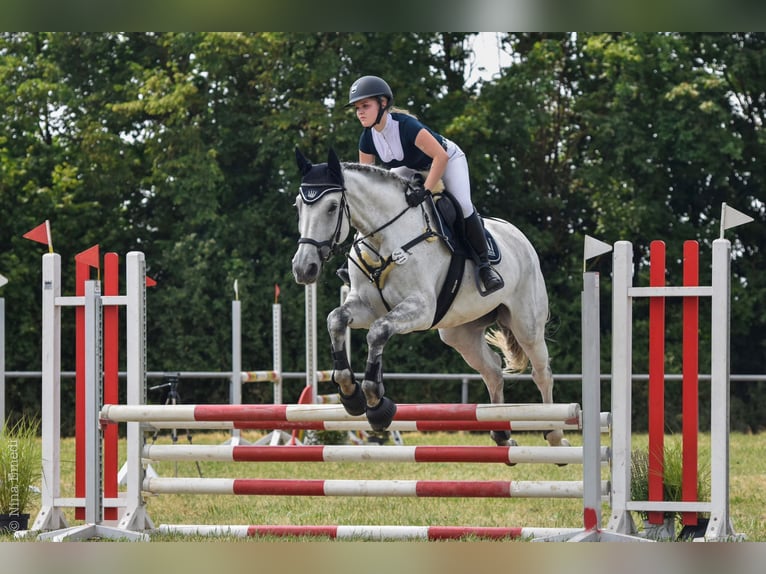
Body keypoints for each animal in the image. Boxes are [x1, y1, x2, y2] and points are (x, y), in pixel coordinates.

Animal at [292, 148, 568, 450]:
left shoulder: (421, 309)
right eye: (298, 205)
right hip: (459, 333)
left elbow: (378, 332)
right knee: (493, 370)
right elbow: (336, 319)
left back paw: (555, 435)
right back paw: (501, 435)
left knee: (541, 372)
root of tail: (520, 238)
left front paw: (376, 405)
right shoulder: (366, 306)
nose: (303, 268)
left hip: (526, 324)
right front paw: (351, 395)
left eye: (331, 207)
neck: (383, 238)